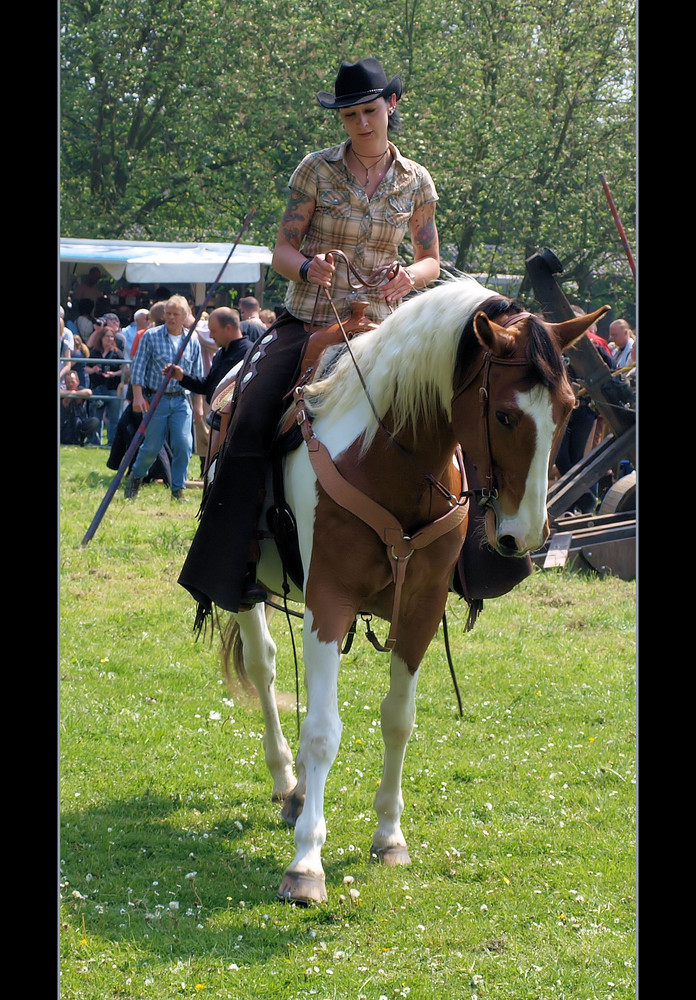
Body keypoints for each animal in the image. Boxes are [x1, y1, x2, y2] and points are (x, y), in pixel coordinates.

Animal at [222, 274, 604, 908]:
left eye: (570, 409)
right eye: (504, 416)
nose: (525, 533)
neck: (387, 458)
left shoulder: (422, 608)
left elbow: (398, 718)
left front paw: (389, 836)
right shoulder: (328, 601)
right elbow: (322, 730)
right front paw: (306, 864)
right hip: (249, 588)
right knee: (265, 667)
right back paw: (286, 780)